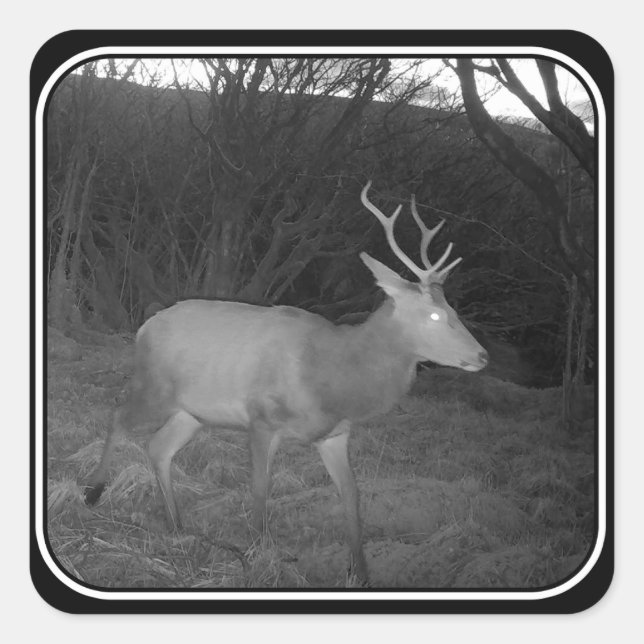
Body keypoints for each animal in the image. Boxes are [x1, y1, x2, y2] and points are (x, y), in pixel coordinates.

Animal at [83, 181, 488, 585]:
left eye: (453, 308)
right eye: (434, 314)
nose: (483, 355)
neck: (332, 376)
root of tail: (145, 326)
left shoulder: (335, 434)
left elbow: (351, 495)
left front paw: (360, 572)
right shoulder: (263, 417)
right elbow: (260, 488)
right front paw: (259, 556)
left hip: (192, 412)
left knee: (158, 447)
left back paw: (177, 525)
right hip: (155, 387)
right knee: (118, 416)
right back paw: (93, 492)